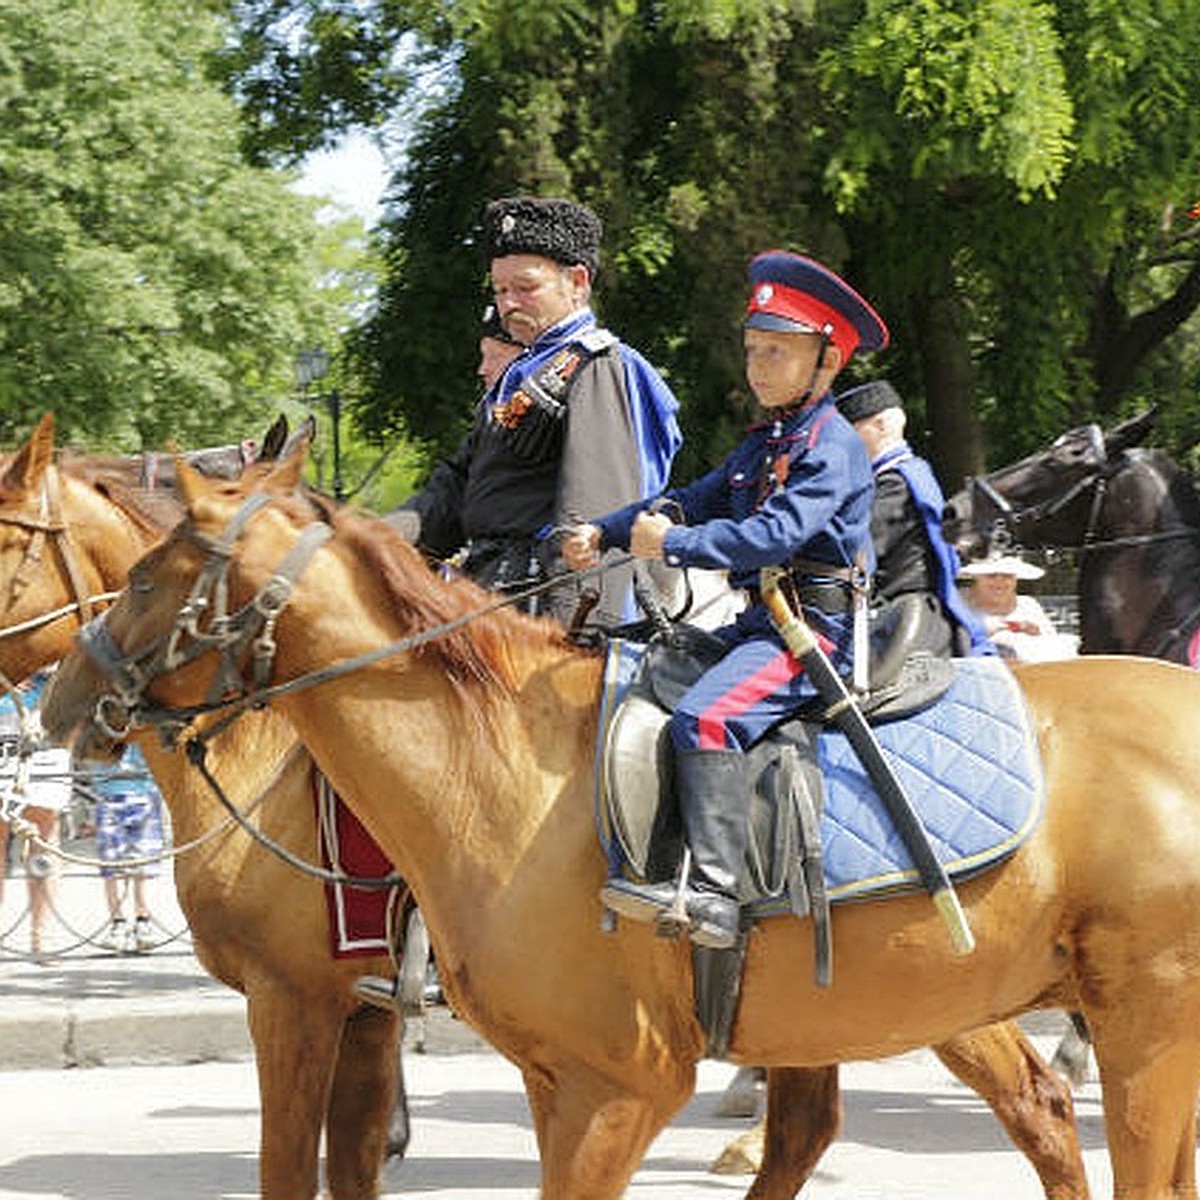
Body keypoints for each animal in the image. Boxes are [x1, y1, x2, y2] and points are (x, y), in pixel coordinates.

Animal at [46, 451, 1200, 1200]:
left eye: (146, 577)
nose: (61, 703)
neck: (497, 766)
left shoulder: (604, 1083)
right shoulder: (525, 1072)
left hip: (1135, 1022)